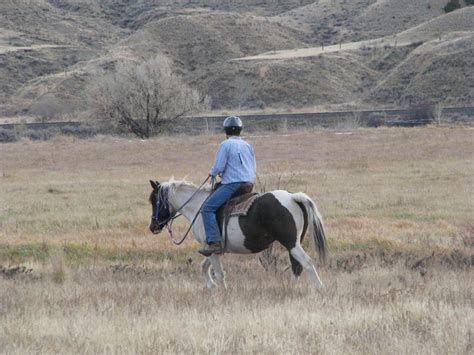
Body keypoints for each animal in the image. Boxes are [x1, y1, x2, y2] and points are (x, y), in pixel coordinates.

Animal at [148, 179, 326, 290]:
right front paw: (211, 286)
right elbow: (204, 266)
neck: (198, 206)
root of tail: (293, 197)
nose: (152, 227)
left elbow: (219, 273)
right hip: (294, 243)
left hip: (291, 242)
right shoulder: (211, 248)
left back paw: (319, 288)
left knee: (306, 263)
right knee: (297, 266)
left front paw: (222, 291)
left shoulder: (211, 247)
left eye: (154, 200)